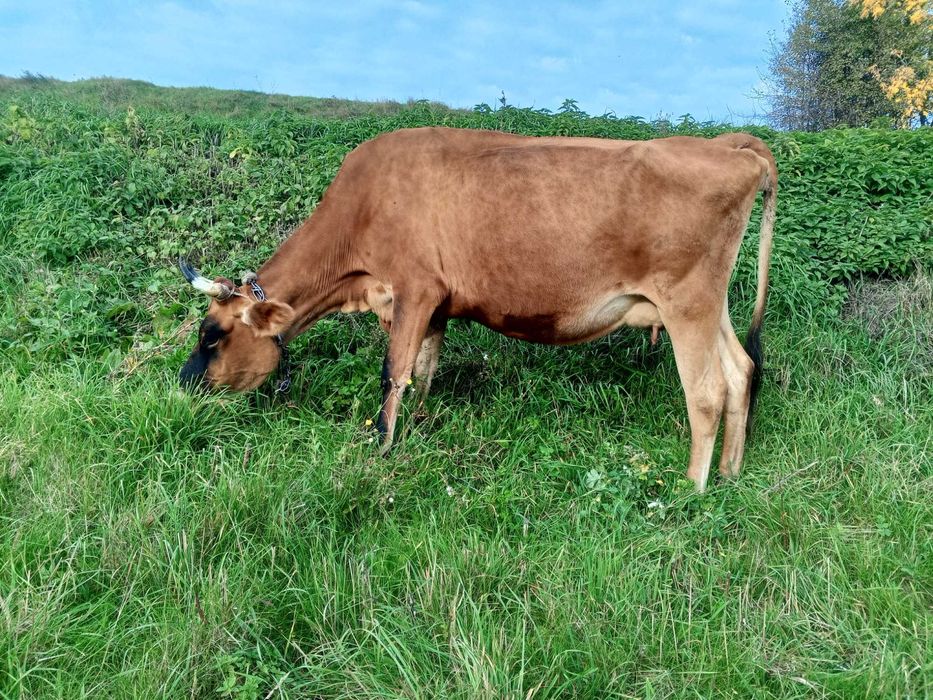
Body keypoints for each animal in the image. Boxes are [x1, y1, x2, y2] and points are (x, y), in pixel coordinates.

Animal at [179, 126, 777, 492]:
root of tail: (728, 145)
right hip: (712, 304)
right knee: (741, 371)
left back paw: (692, 489)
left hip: (686, 300)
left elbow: (392, 373)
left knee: (707, 392)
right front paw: (417, 428)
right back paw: (730, 473)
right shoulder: (436, 305)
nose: (184, 385)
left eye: (213, 334)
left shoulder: (414, 288)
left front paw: (381, 450)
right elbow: (422, 372)